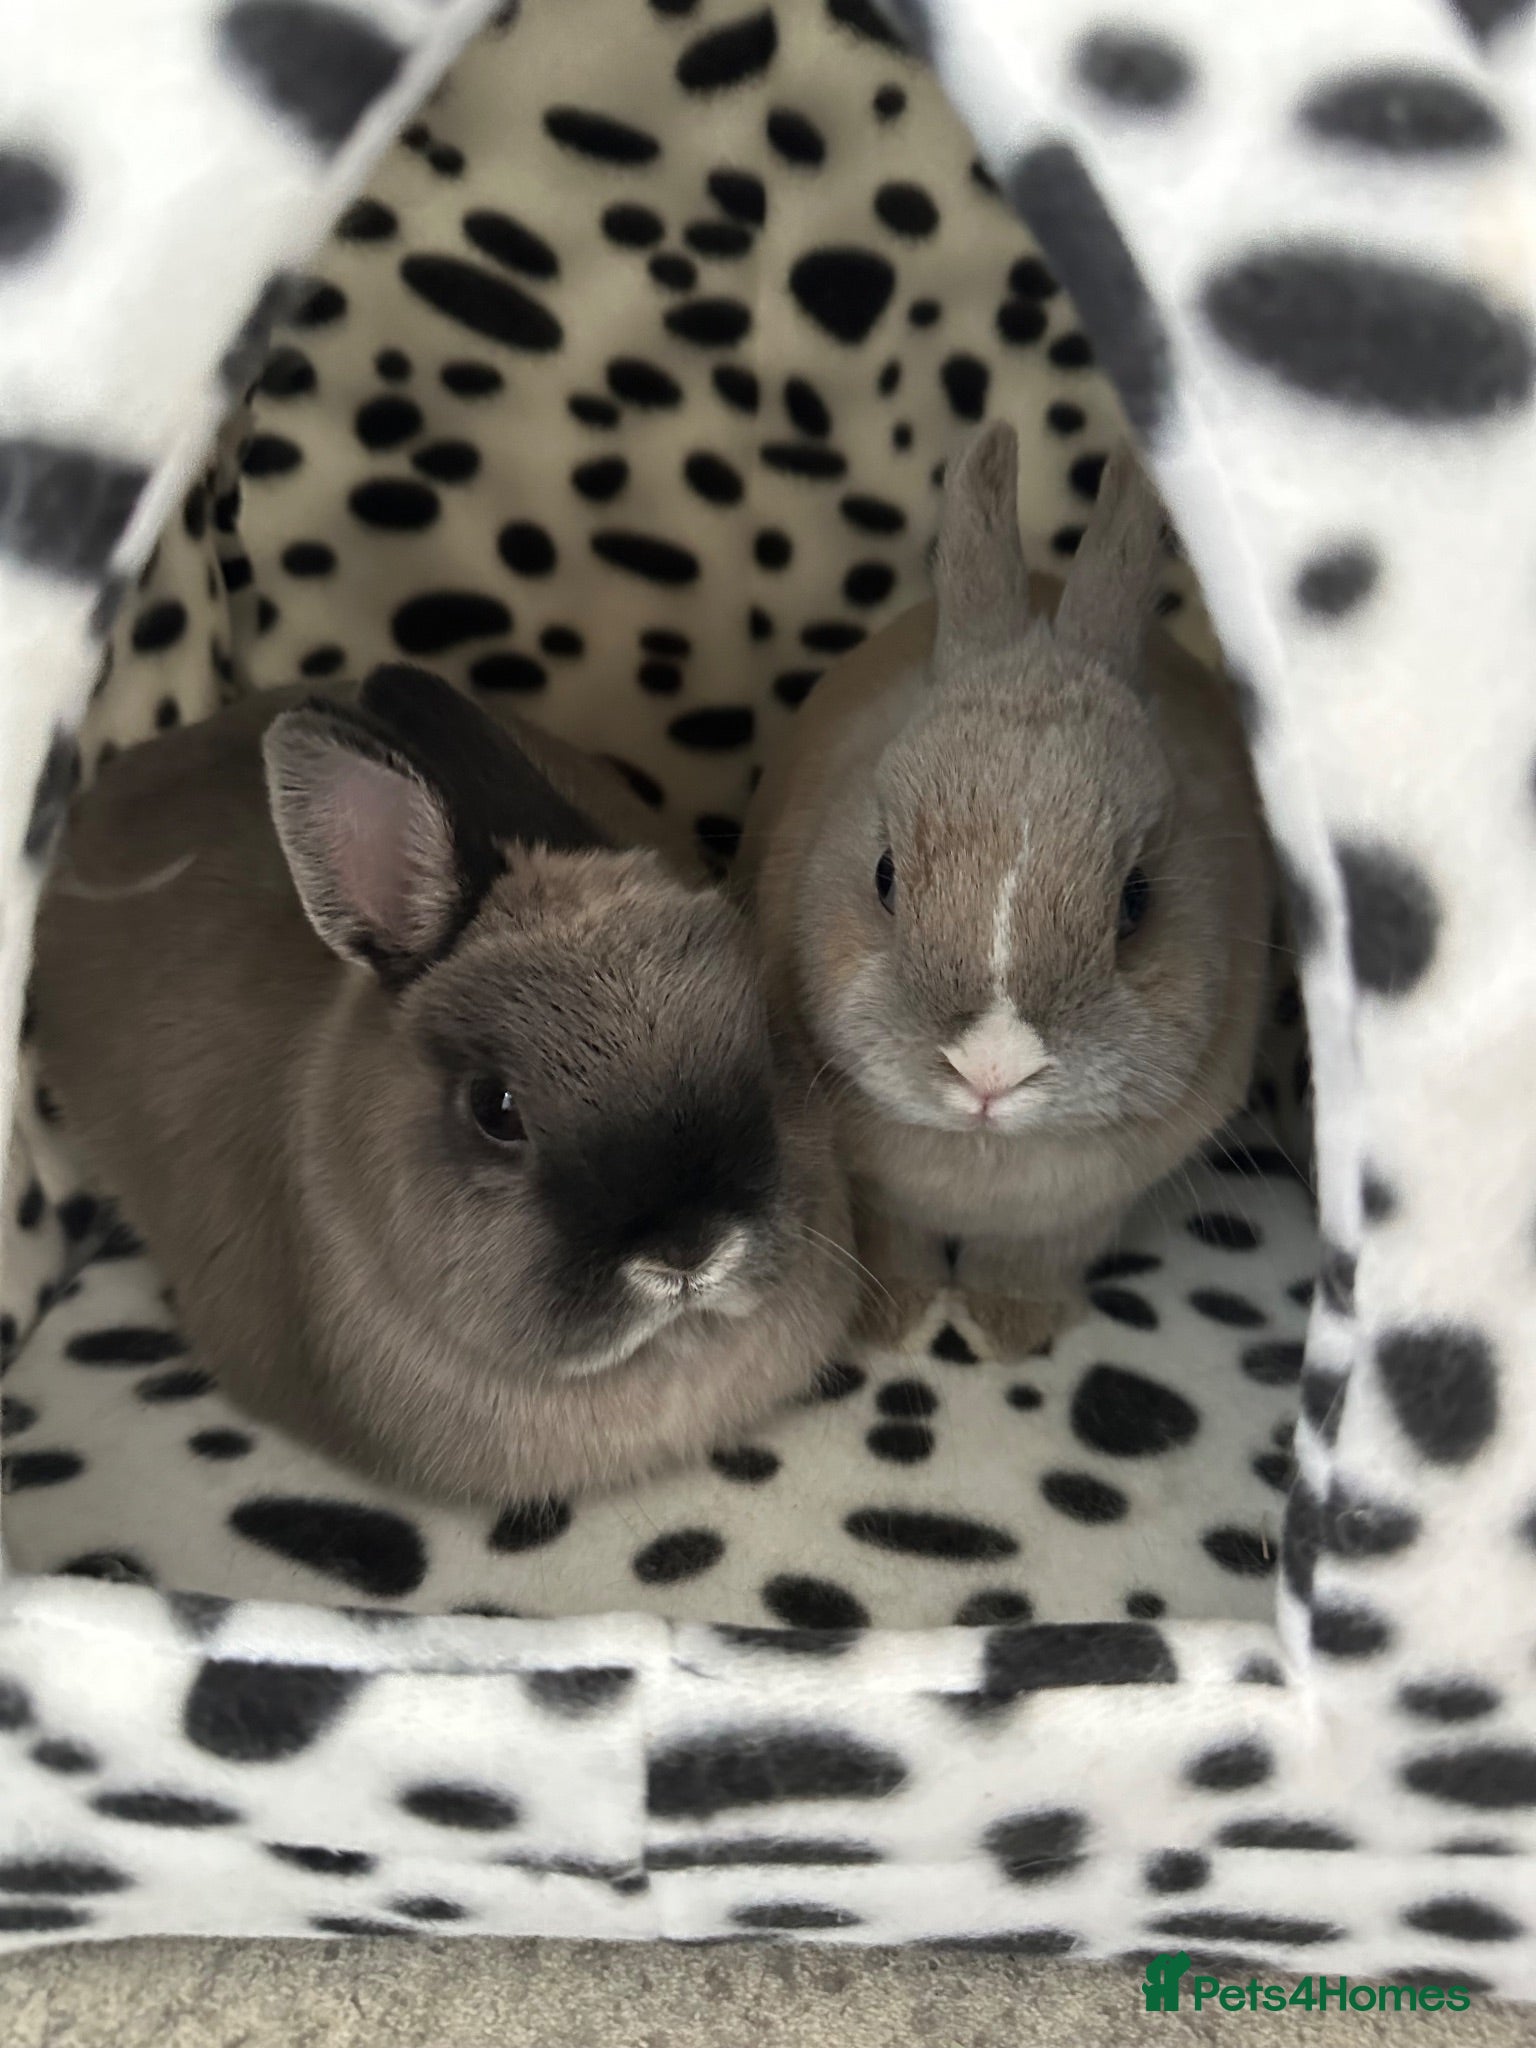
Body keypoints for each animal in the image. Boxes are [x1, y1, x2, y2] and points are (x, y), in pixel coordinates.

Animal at [740, 422, 1273, 1357]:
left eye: (1137, 901)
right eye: (884, 875)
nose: (990, 1069)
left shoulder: (1076, 1219)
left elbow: (1028, 1261)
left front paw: (1007, 1330)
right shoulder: (873, 1198)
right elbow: (895, 1244)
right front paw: (893, 1321)